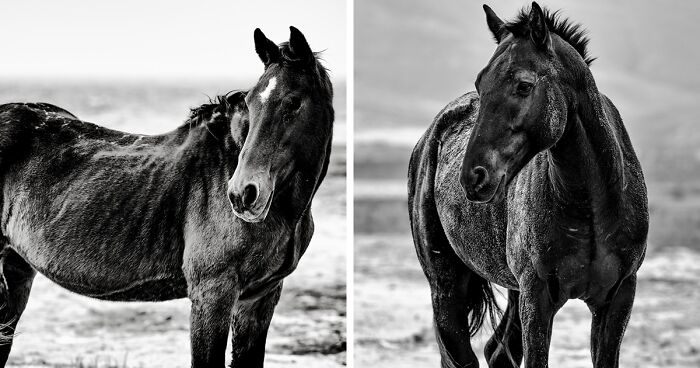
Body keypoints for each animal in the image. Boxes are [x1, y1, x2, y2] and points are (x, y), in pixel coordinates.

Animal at [0, 26, 334, 368]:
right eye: (251, 102)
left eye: (293, 102)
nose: (243, 194)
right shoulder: (212, 294)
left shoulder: (260, 299)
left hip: (15, 269)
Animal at [410, 3, 644, 368]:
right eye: (481, 82)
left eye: (523, 85)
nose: (474, 176)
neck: (589, 206)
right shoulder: (537, 299)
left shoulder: (617, 298)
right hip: (446, 288)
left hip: (511, 290)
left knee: (497, 350)